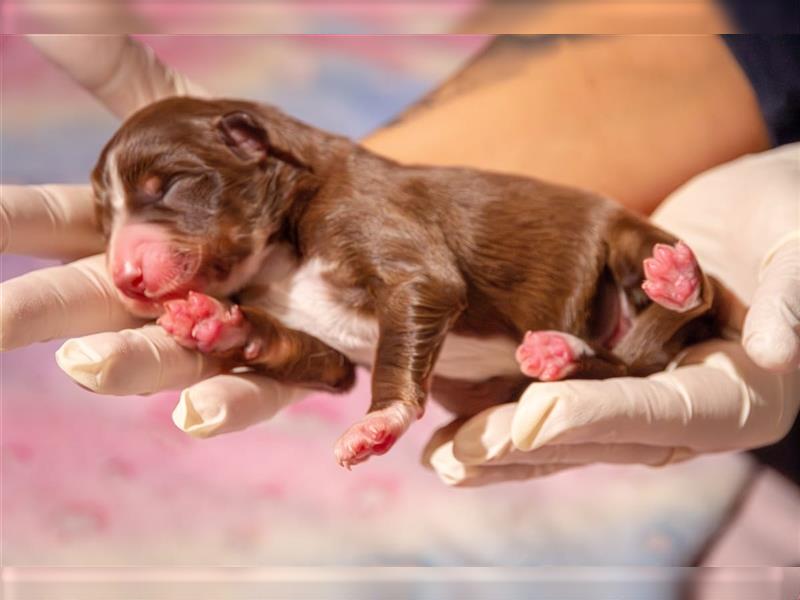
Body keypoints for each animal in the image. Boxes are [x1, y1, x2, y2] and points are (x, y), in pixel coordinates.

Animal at [90, 96, 740, 468]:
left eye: (169, 186)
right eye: (104, 216)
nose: (125, 276)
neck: (278, 253)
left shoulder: (391, 242)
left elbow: (408, 325)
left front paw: (378, 423)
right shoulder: (322, 349)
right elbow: (315, 357)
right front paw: (209, 321)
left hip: (624, 237)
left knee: (654, 335)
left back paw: (676, 281)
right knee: (625, 365)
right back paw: (558, 355)